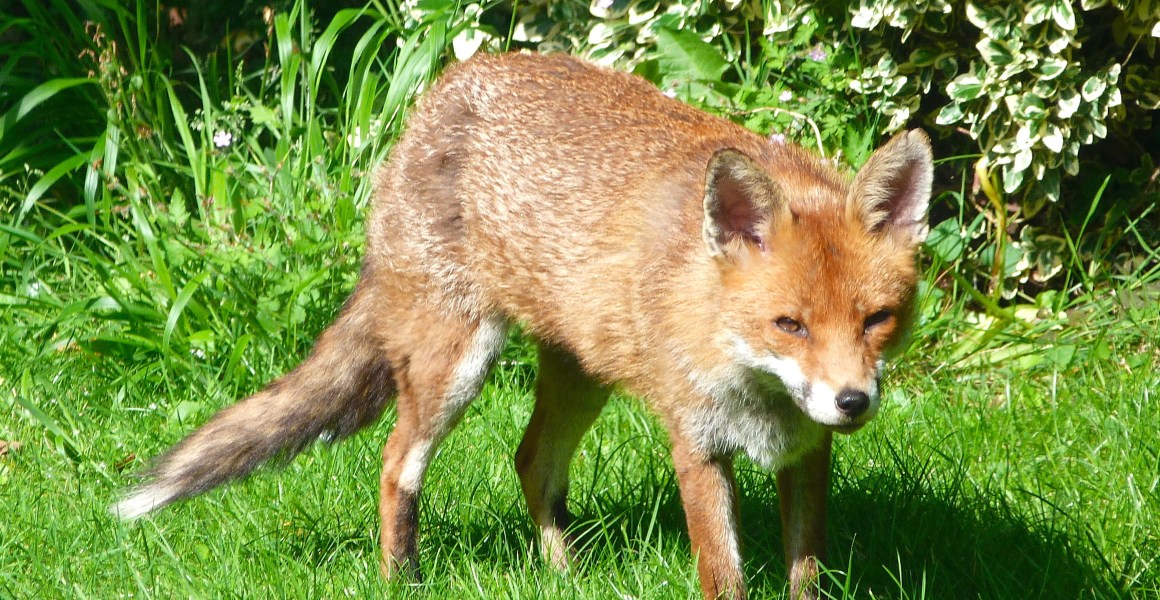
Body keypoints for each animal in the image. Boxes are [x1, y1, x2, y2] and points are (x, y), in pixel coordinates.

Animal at [113, 52, 933, 599]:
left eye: (878, 319)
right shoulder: (697, 447)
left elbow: (806, 574)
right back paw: (402, 579)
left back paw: (563, 575)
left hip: (582, 375)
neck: (748, 374)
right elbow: (722, 576)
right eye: (789, 324)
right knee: (396, 466)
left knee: (531, 462)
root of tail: (442, 90)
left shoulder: (807, 450)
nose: (852, 401)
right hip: (455, 363)